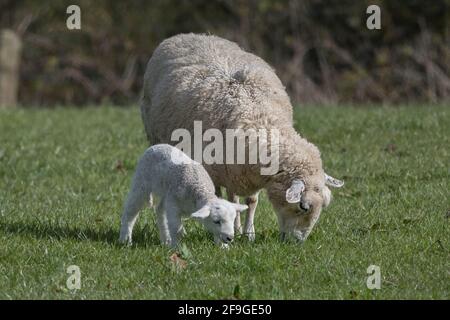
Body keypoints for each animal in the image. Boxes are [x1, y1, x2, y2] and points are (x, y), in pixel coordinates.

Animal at [118, 144, 248, 248]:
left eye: (233, 219)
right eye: (216, 221)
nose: (230, 238)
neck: (199, 190)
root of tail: (156, 146)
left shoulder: (172, 200)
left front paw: (223, 247)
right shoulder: (173, 204)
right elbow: (176, 228)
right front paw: (177, 247)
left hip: (166, 193)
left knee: (160, 210)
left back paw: (166, 240)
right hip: (141, 182)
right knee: (130, 211)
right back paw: (125, 240)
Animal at [142, 33, 344, 242]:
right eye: (303, 207)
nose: (297, 242)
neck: (258, 117)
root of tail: (185, 35)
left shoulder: (246, 173)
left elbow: (251, 201)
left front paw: (248, 233)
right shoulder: (216, 169)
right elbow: (219, 197)